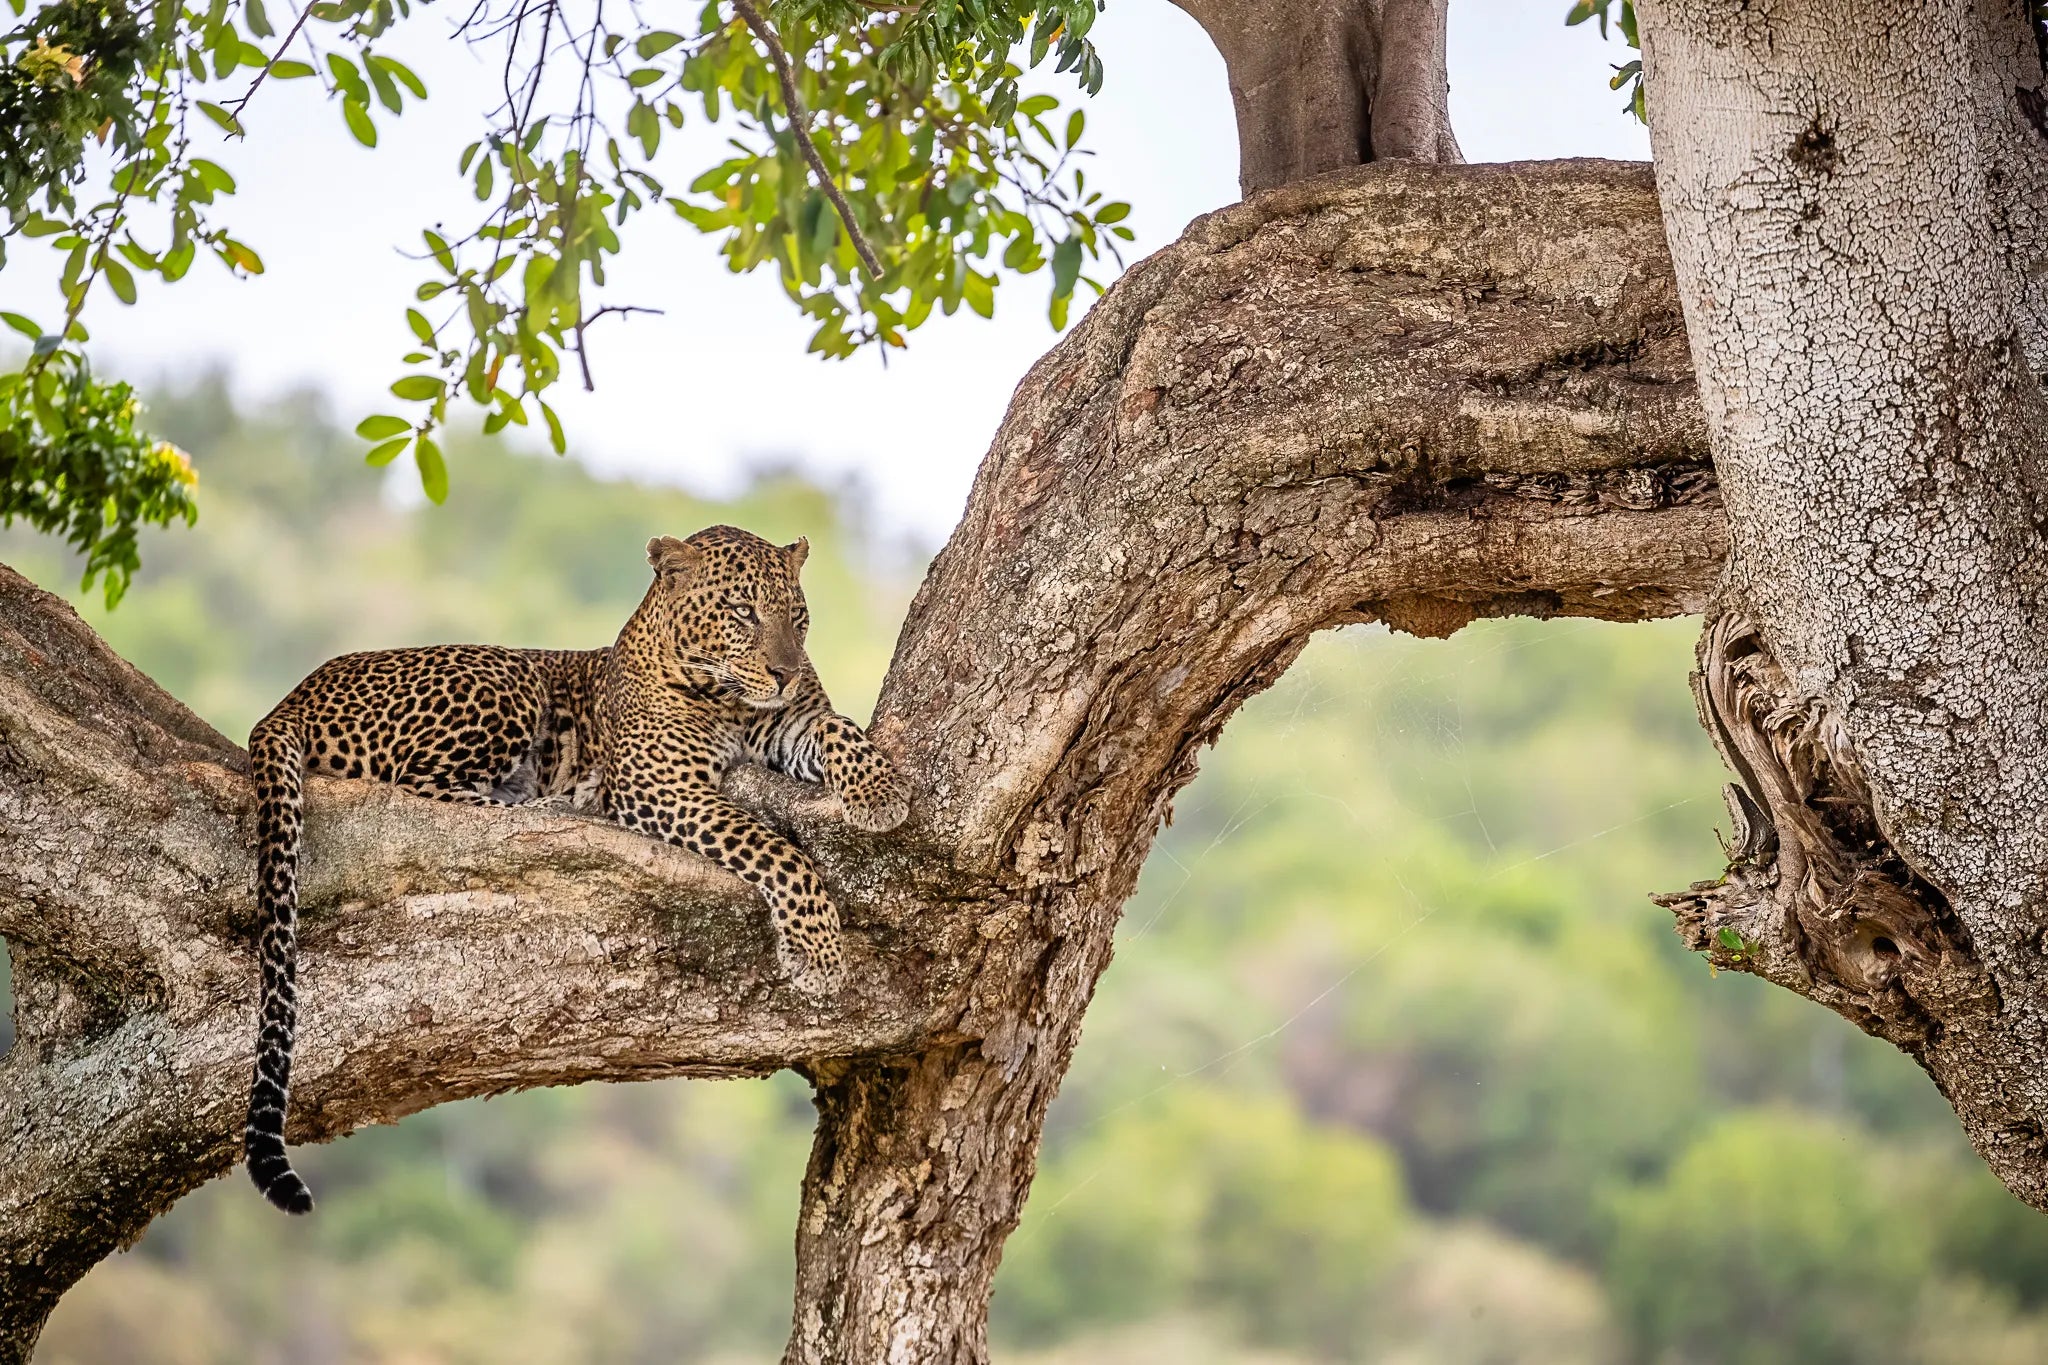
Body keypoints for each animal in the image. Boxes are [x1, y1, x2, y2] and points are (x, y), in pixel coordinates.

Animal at [241, 524, 908, 1216]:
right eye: (742, 612)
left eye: (798, 618)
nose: (785, 672)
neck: (730, 703)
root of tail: (294, 695)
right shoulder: (660, 787)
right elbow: (774, 848)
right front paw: (819, 950)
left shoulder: (794, 723)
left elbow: (839, 727)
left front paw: (880, 790)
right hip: (505, 676)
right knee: (422, 786)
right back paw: (562, 802)